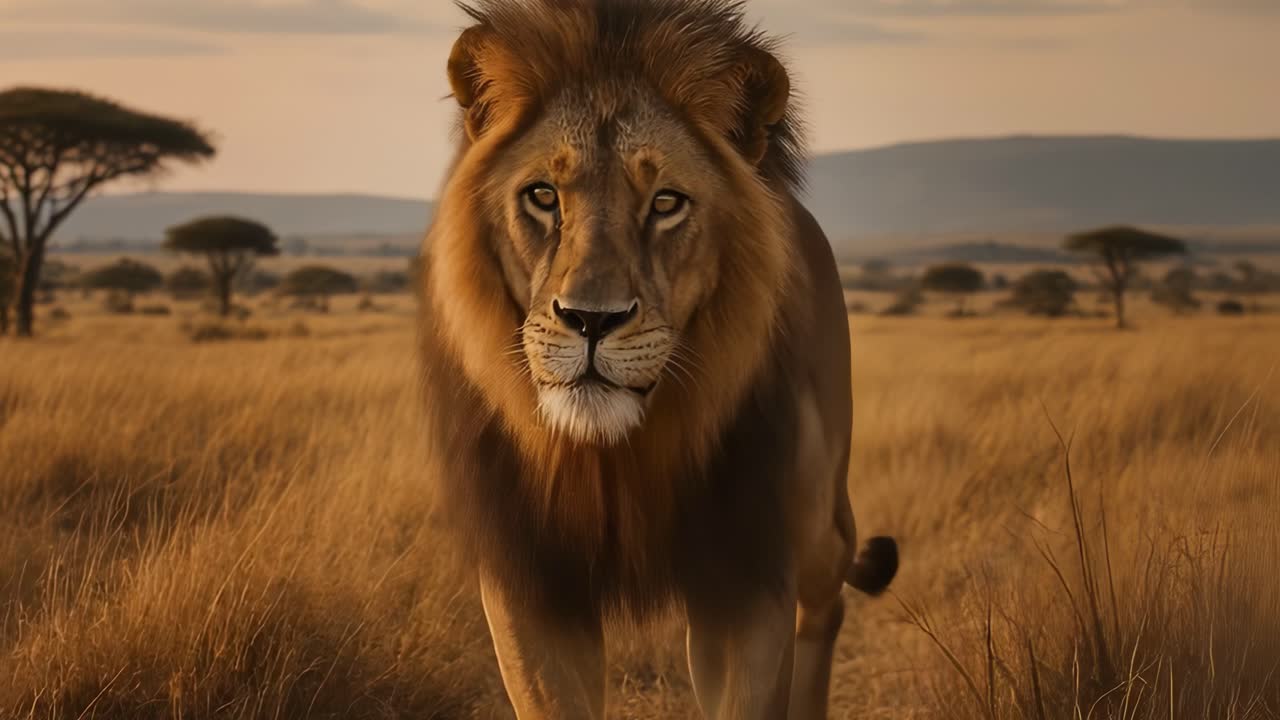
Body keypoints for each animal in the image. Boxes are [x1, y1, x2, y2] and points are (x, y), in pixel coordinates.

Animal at [416, 1, 899, 717]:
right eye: (543, 196)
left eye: (666, 203)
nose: (591, 320)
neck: (617, 459)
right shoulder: (529, 581)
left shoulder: (747, 571)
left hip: (817, 514)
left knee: (827, 600)